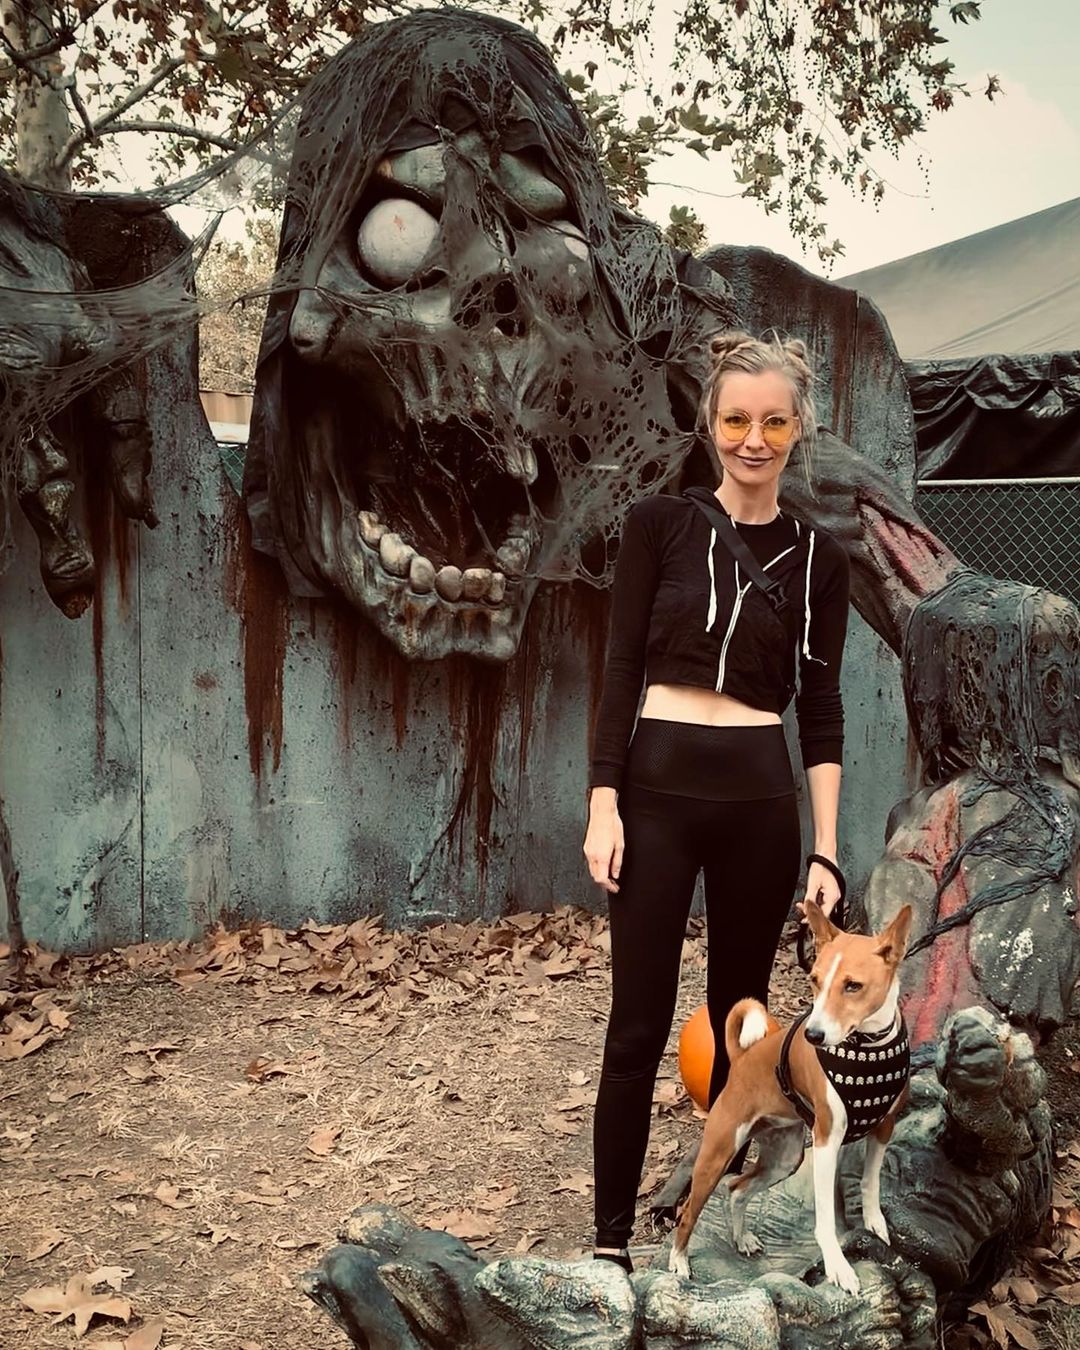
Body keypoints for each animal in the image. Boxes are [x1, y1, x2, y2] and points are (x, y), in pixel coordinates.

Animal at [668, 899, 913, 1294]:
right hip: (718, 1153)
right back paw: (678, 1261)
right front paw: (838, 1267)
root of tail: (741, 1058)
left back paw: (742, 1238)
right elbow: (826, 1218)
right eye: (814, 980)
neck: (868, 1044)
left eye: (853, 986)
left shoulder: (883, 1127)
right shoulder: (828, 1140)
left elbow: (870, 1182)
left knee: (737, 1188)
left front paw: (875, 1222)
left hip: (784, 1158)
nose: (814, 1035)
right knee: (690, 1209)